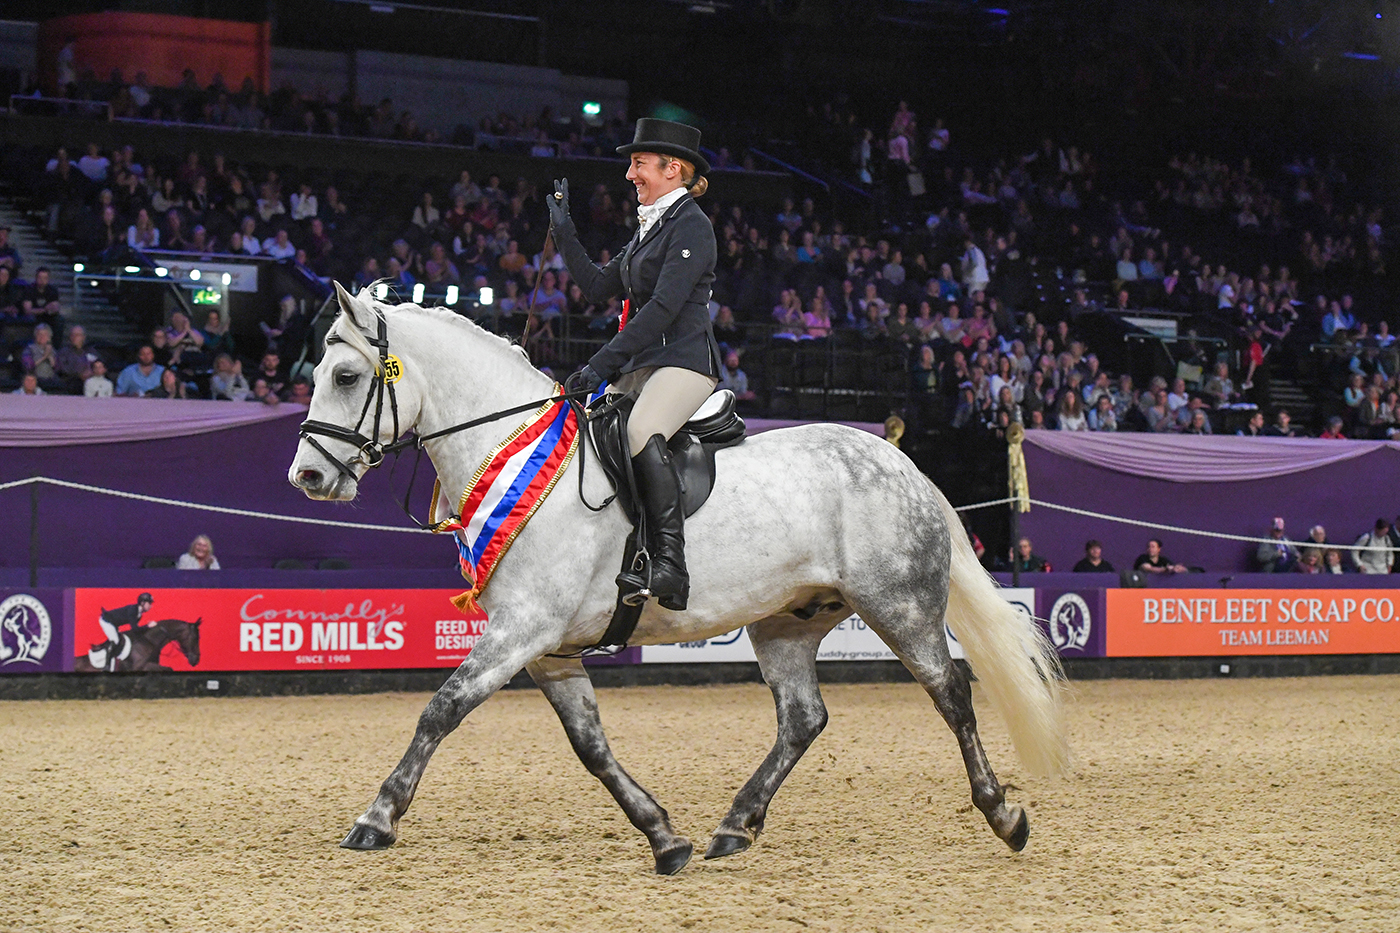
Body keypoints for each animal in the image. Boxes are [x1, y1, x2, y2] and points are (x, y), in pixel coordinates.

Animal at [288, 284, 1068, 874]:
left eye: (347, 377)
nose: (308, 477)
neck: (510, 449)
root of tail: (905, 465)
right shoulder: (547, 648)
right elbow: (590, 746)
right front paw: (664, 836)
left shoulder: (523, 629)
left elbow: (440, 710)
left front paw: (377, 817)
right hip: (786, 620)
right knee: (803, 717)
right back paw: (734, 825)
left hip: (898, 604)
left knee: (952, 693)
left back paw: (1004, 814)